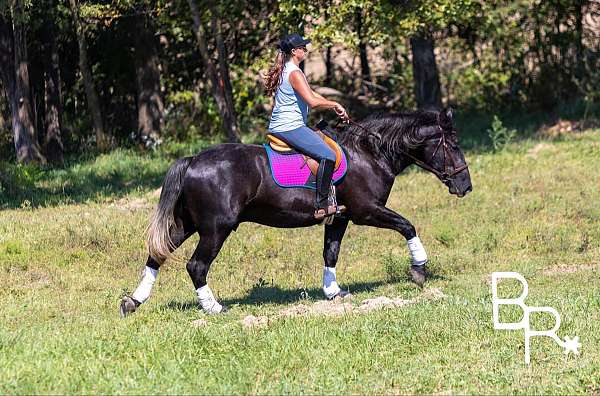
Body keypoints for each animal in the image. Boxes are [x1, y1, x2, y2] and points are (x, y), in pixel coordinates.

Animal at [119, 107, 472, 316]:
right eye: (454, 146)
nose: (466, 186)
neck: (370, 152)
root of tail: (193, 160)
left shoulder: (340, 217)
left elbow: (331, 253)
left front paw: (333, 292)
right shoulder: (366, 211)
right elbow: (408, 226)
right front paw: (419, 270)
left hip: (187, 223)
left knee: (157, 254)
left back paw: (133, 302)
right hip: (216, 229)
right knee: (196, 266)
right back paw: (214, 308)